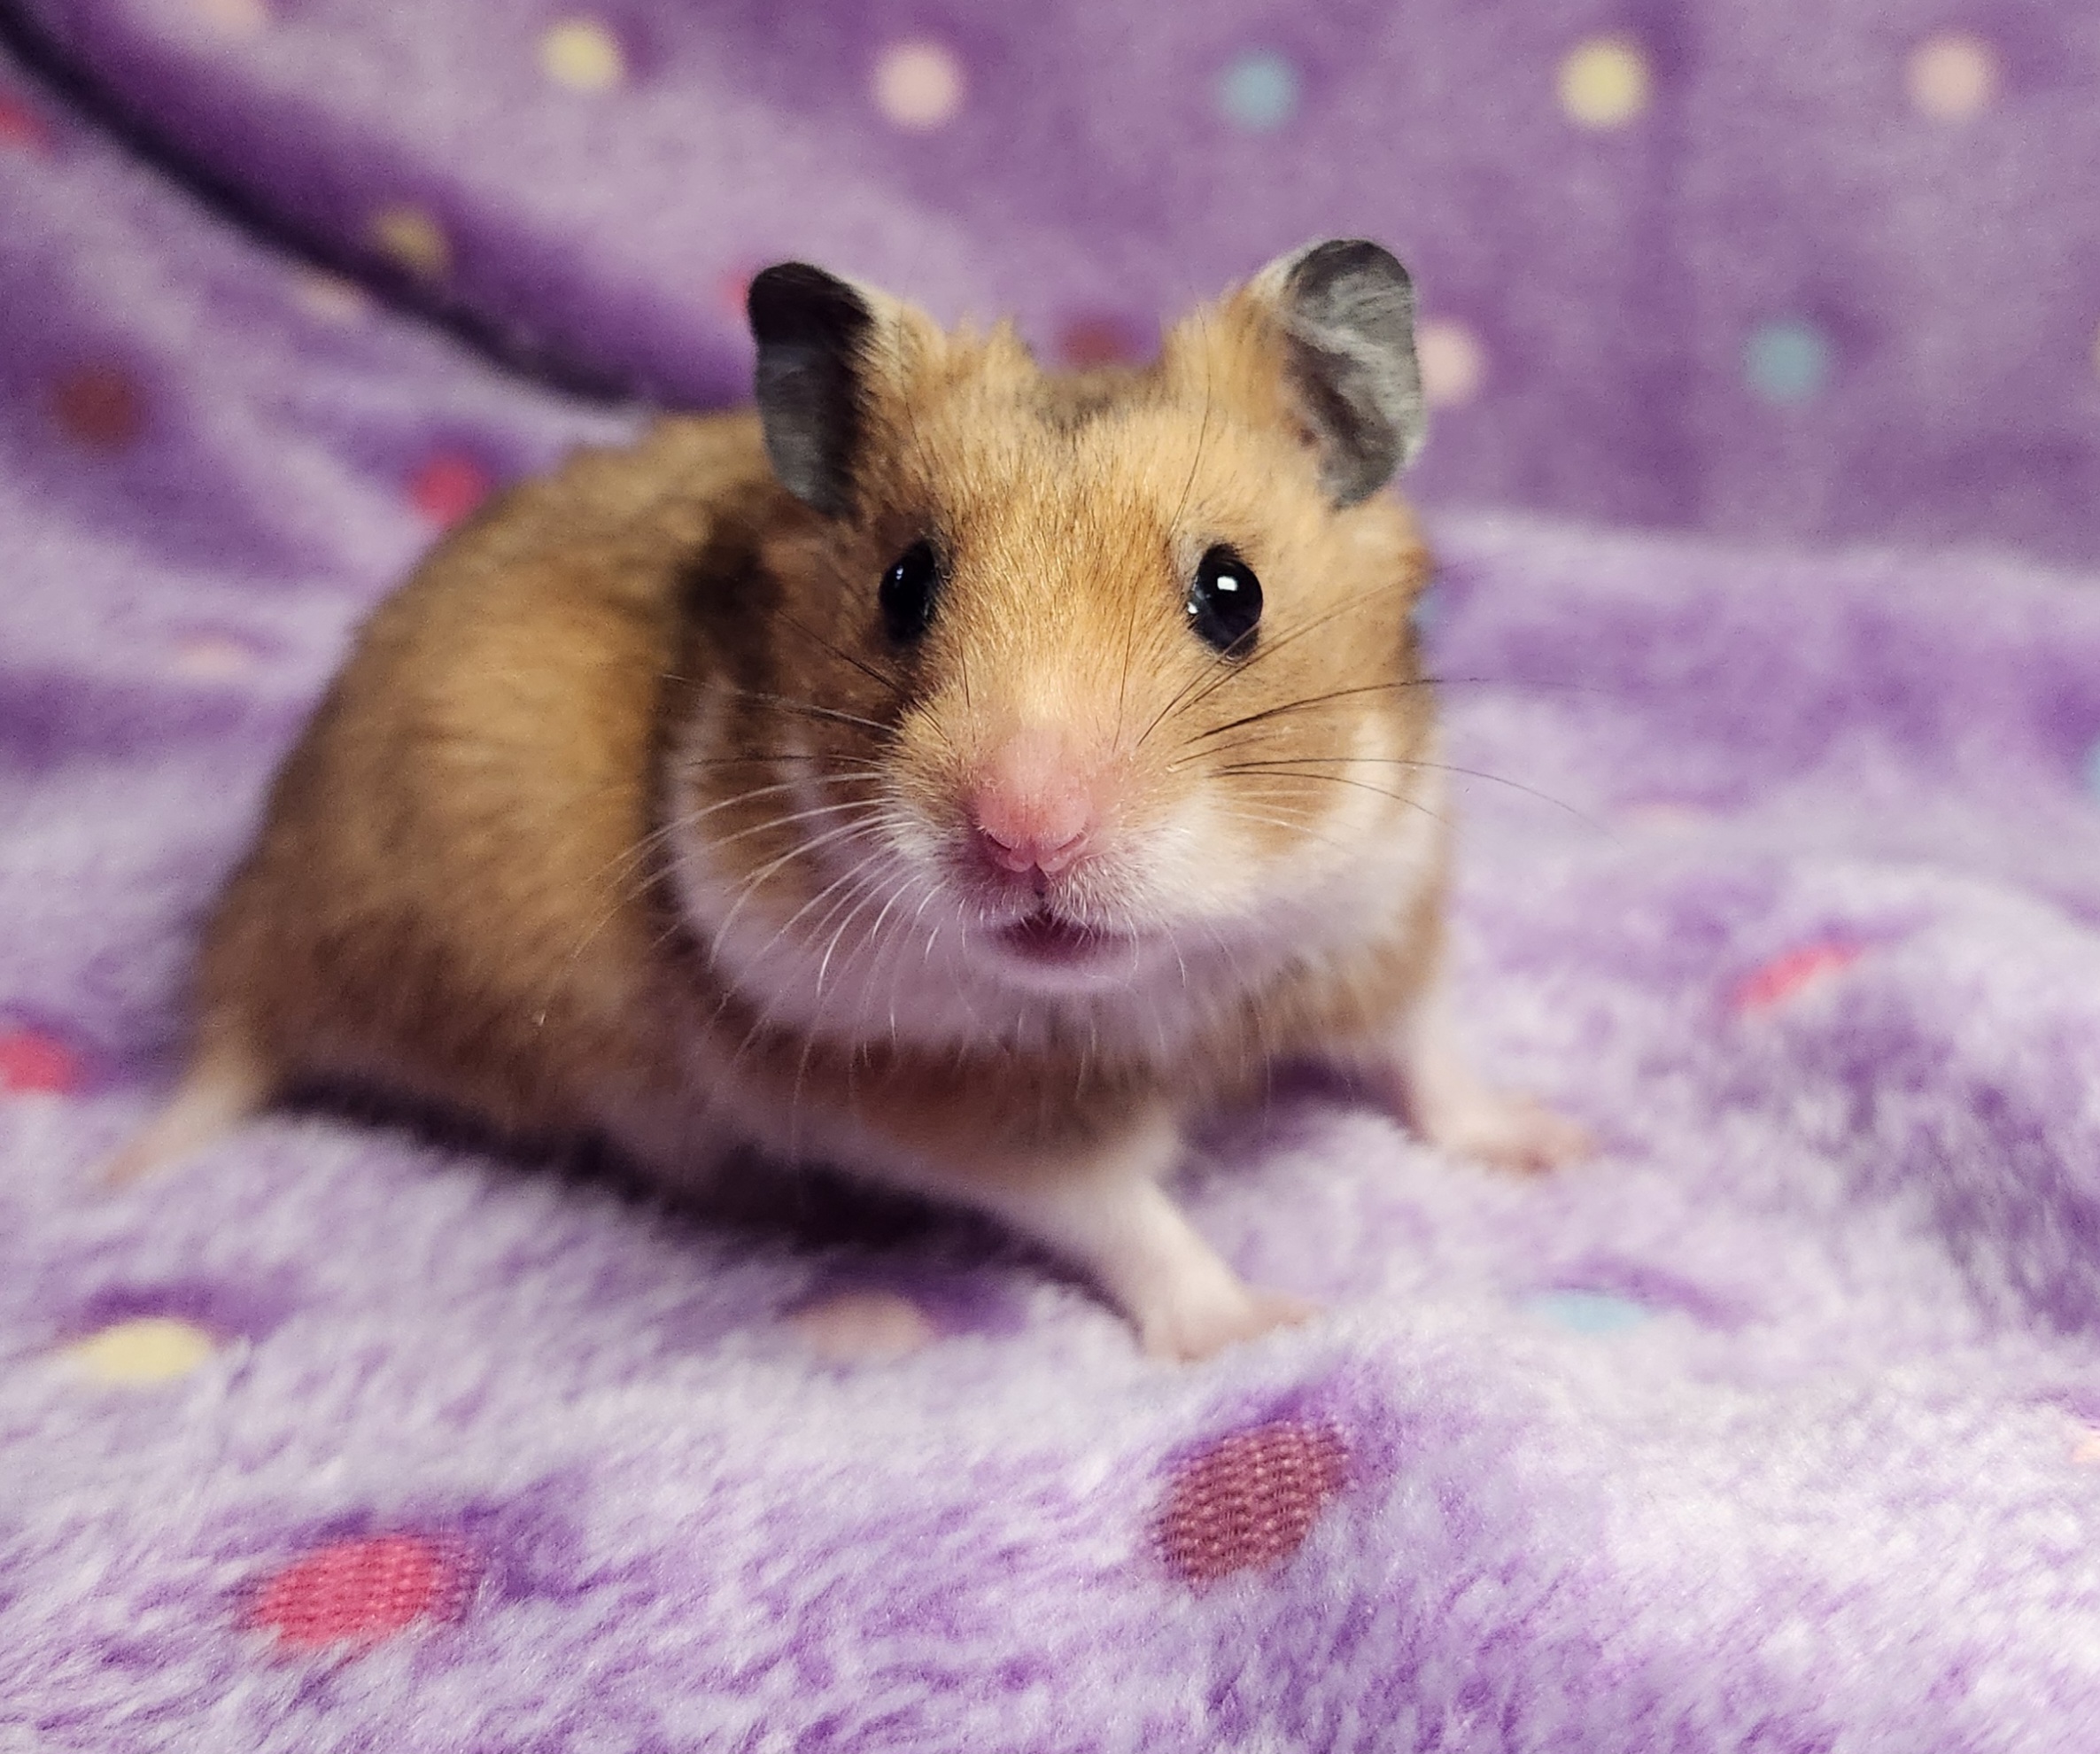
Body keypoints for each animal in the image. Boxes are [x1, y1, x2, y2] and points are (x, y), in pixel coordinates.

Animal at [113, 239, 1588, 1360]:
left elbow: (1427, 1058)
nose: (1021, 837)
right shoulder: (956, 1107)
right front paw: (1262, 1326)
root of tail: (256, 936)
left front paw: (1563, 1146)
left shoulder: (1374, 906)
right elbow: (1125, 1217)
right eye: (902, 586)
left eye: (1232, 592)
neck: (1154, 981)